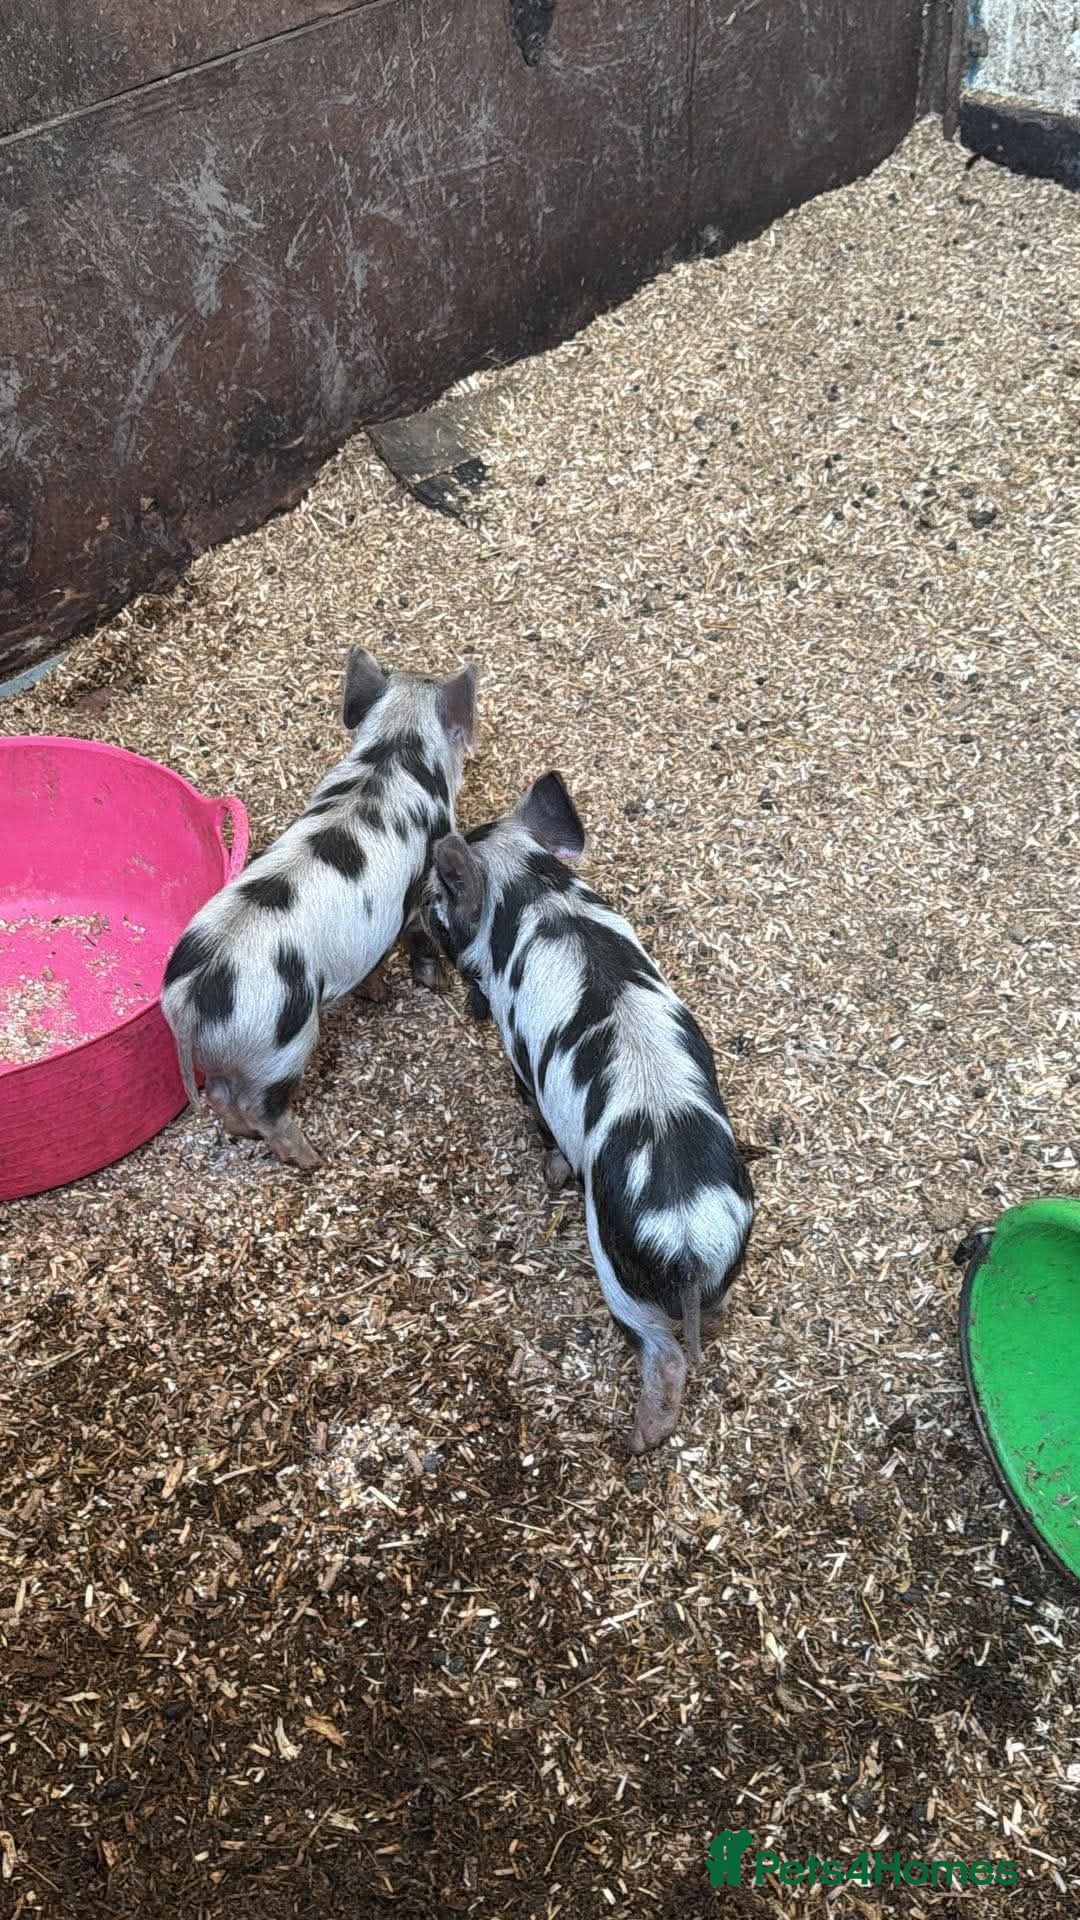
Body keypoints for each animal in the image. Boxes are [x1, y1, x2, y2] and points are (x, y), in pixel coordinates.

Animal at [161, 647, 478, 1170]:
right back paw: (312, 1159)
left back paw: (245, 1136)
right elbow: (419, 936)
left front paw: (377, 994)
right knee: (261, 1106)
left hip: (232, 1051)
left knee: (220, 1096)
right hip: (279, 1048)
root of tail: (192, 997)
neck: (394, 750)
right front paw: (434, 984)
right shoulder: (418, 891)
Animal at [423, 772, 754, 1453]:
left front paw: (550, 1171)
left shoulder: (519, 1053)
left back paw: (639, 1439)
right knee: (712, 1314)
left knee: (665, 1354)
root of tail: (688, 1242)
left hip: (614, 1265)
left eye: (440, 896)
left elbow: (538, 1117)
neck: (536, 895)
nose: (419, 905)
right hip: (728, 1249)